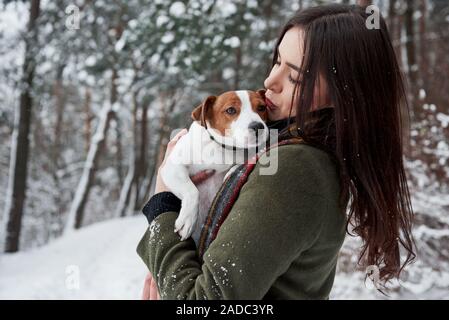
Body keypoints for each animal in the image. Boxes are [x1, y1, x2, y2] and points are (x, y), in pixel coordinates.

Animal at [159, 89, 268, 244]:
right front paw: (188, 220)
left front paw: (231, 171)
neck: (224, 148)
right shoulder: (173, 167)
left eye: (261, 107)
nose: (258, 126)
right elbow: (192, 191)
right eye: (231, 110)